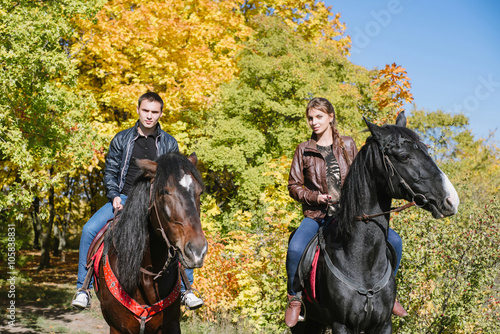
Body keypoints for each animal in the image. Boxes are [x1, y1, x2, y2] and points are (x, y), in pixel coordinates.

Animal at [94, 153, 207, 332]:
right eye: (165, 192)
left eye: (199, 192)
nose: (197, 251)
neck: (145, 275)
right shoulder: (117, 328)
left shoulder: (171, 324)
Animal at [292, 113, 458, 332]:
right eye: (404, 156)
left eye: (426, 149)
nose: (451, 200)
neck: (361, 260)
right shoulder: (341, 325)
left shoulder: (383, 324)